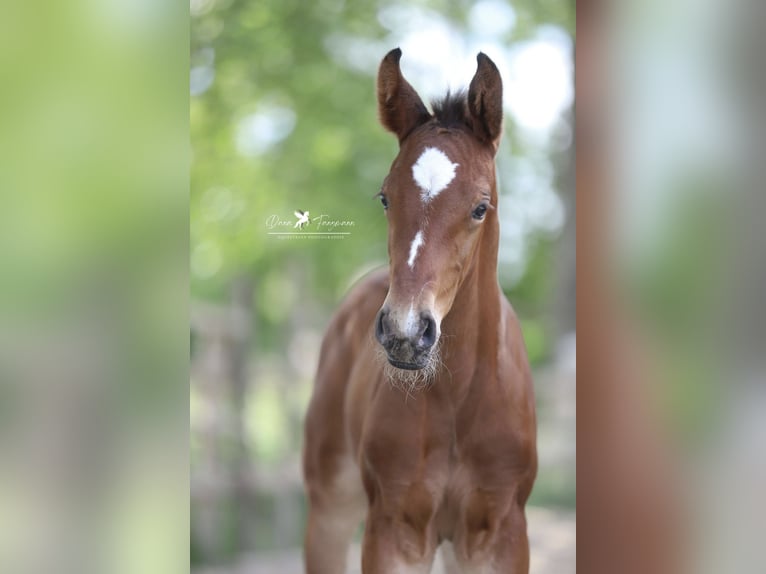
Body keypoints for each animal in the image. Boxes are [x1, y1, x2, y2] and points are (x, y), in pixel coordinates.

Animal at [303, 48, 537, 574]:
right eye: (385, 197)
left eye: (480, 207)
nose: (405, 332)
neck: (458, 398)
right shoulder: (394, 529)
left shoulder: (501, 533)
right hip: (329, 508)